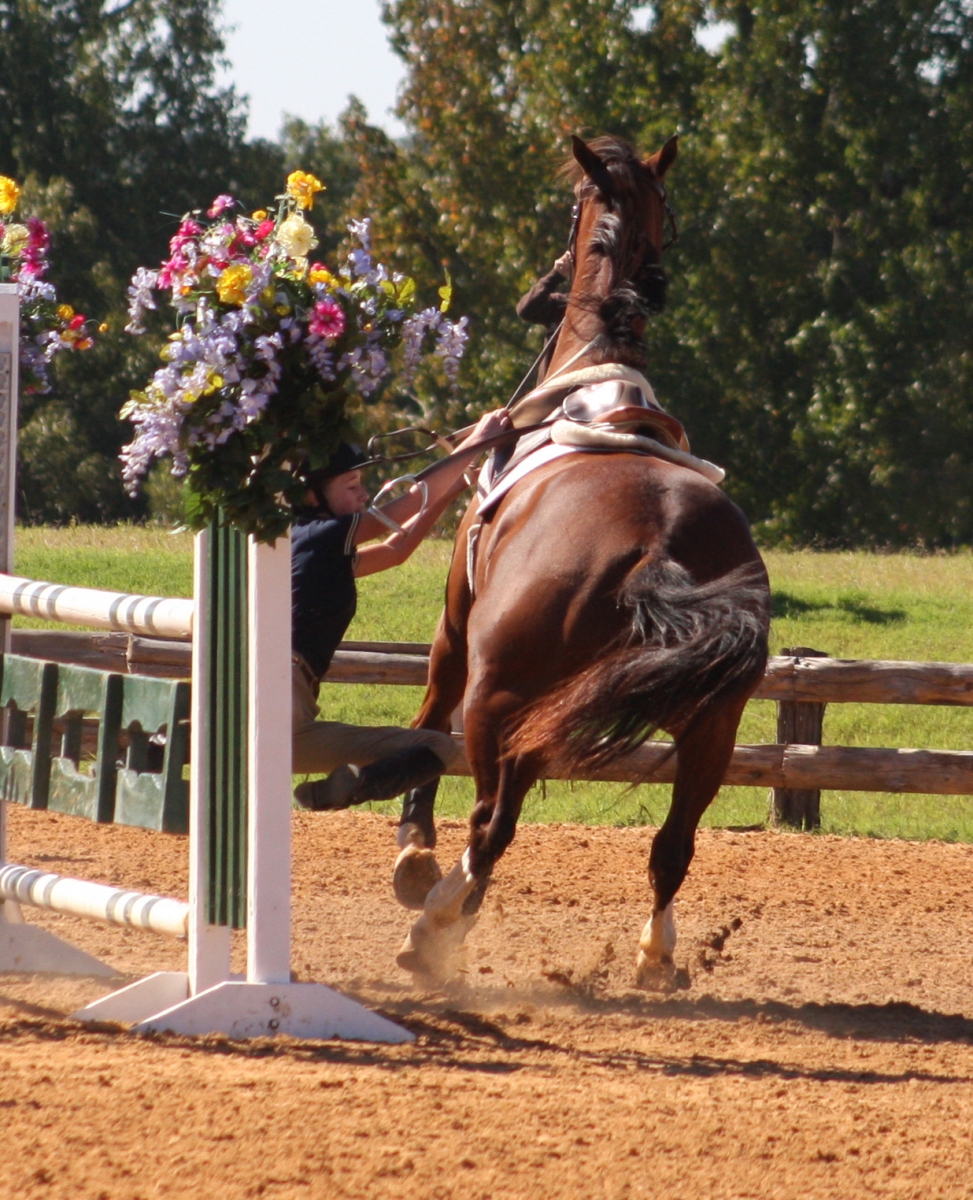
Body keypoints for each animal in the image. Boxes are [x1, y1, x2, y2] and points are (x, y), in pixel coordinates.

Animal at [392, 134, 771, 987]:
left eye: (569, 208)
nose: (537, 292)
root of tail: (656, 548)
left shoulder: (453, 633)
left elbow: (427, 729)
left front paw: (413, 854)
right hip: (710, 728)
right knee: (671, 847)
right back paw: (653, 956)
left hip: (498, 700)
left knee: (489, 819)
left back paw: (435, 929)